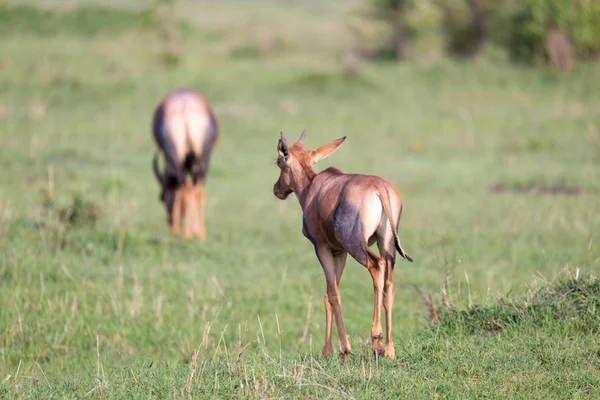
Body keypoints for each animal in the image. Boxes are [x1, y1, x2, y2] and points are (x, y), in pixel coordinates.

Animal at [151, 88, 219, 238]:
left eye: (162, 198)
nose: (169, 223)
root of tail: (185, 110)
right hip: (203, 159)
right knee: (196, 190)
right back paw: (199, 234)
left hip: (178, 157)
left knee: (185, 189)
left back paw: (185, 234)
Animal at [274, 129, 410, 360]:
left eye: (279, 162)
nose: (277, 189)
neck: (315, 188)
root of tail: (379, 187)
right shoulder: (340, 251)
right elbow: (328, 294)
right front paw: (328, 351)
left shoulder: (322, 247)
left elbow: (333, 294)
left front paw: (343, 349)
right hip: (386, 243)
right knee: (389, 283)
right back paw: (389, 349)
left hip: (357, 245)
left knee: (377, 267)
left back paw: (376, 341)